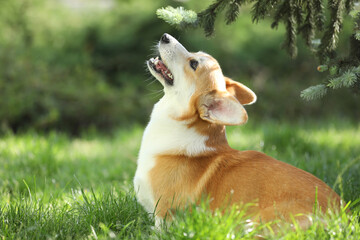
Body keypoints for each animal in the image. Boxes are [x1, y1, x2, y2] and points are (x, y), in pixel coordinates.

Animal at [134, 33, 342, 227]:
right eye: (196, 54)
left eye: (193, 63)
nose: (165, 37)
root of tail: (338, 218)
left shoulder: (164, 215)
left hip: (254, 224)